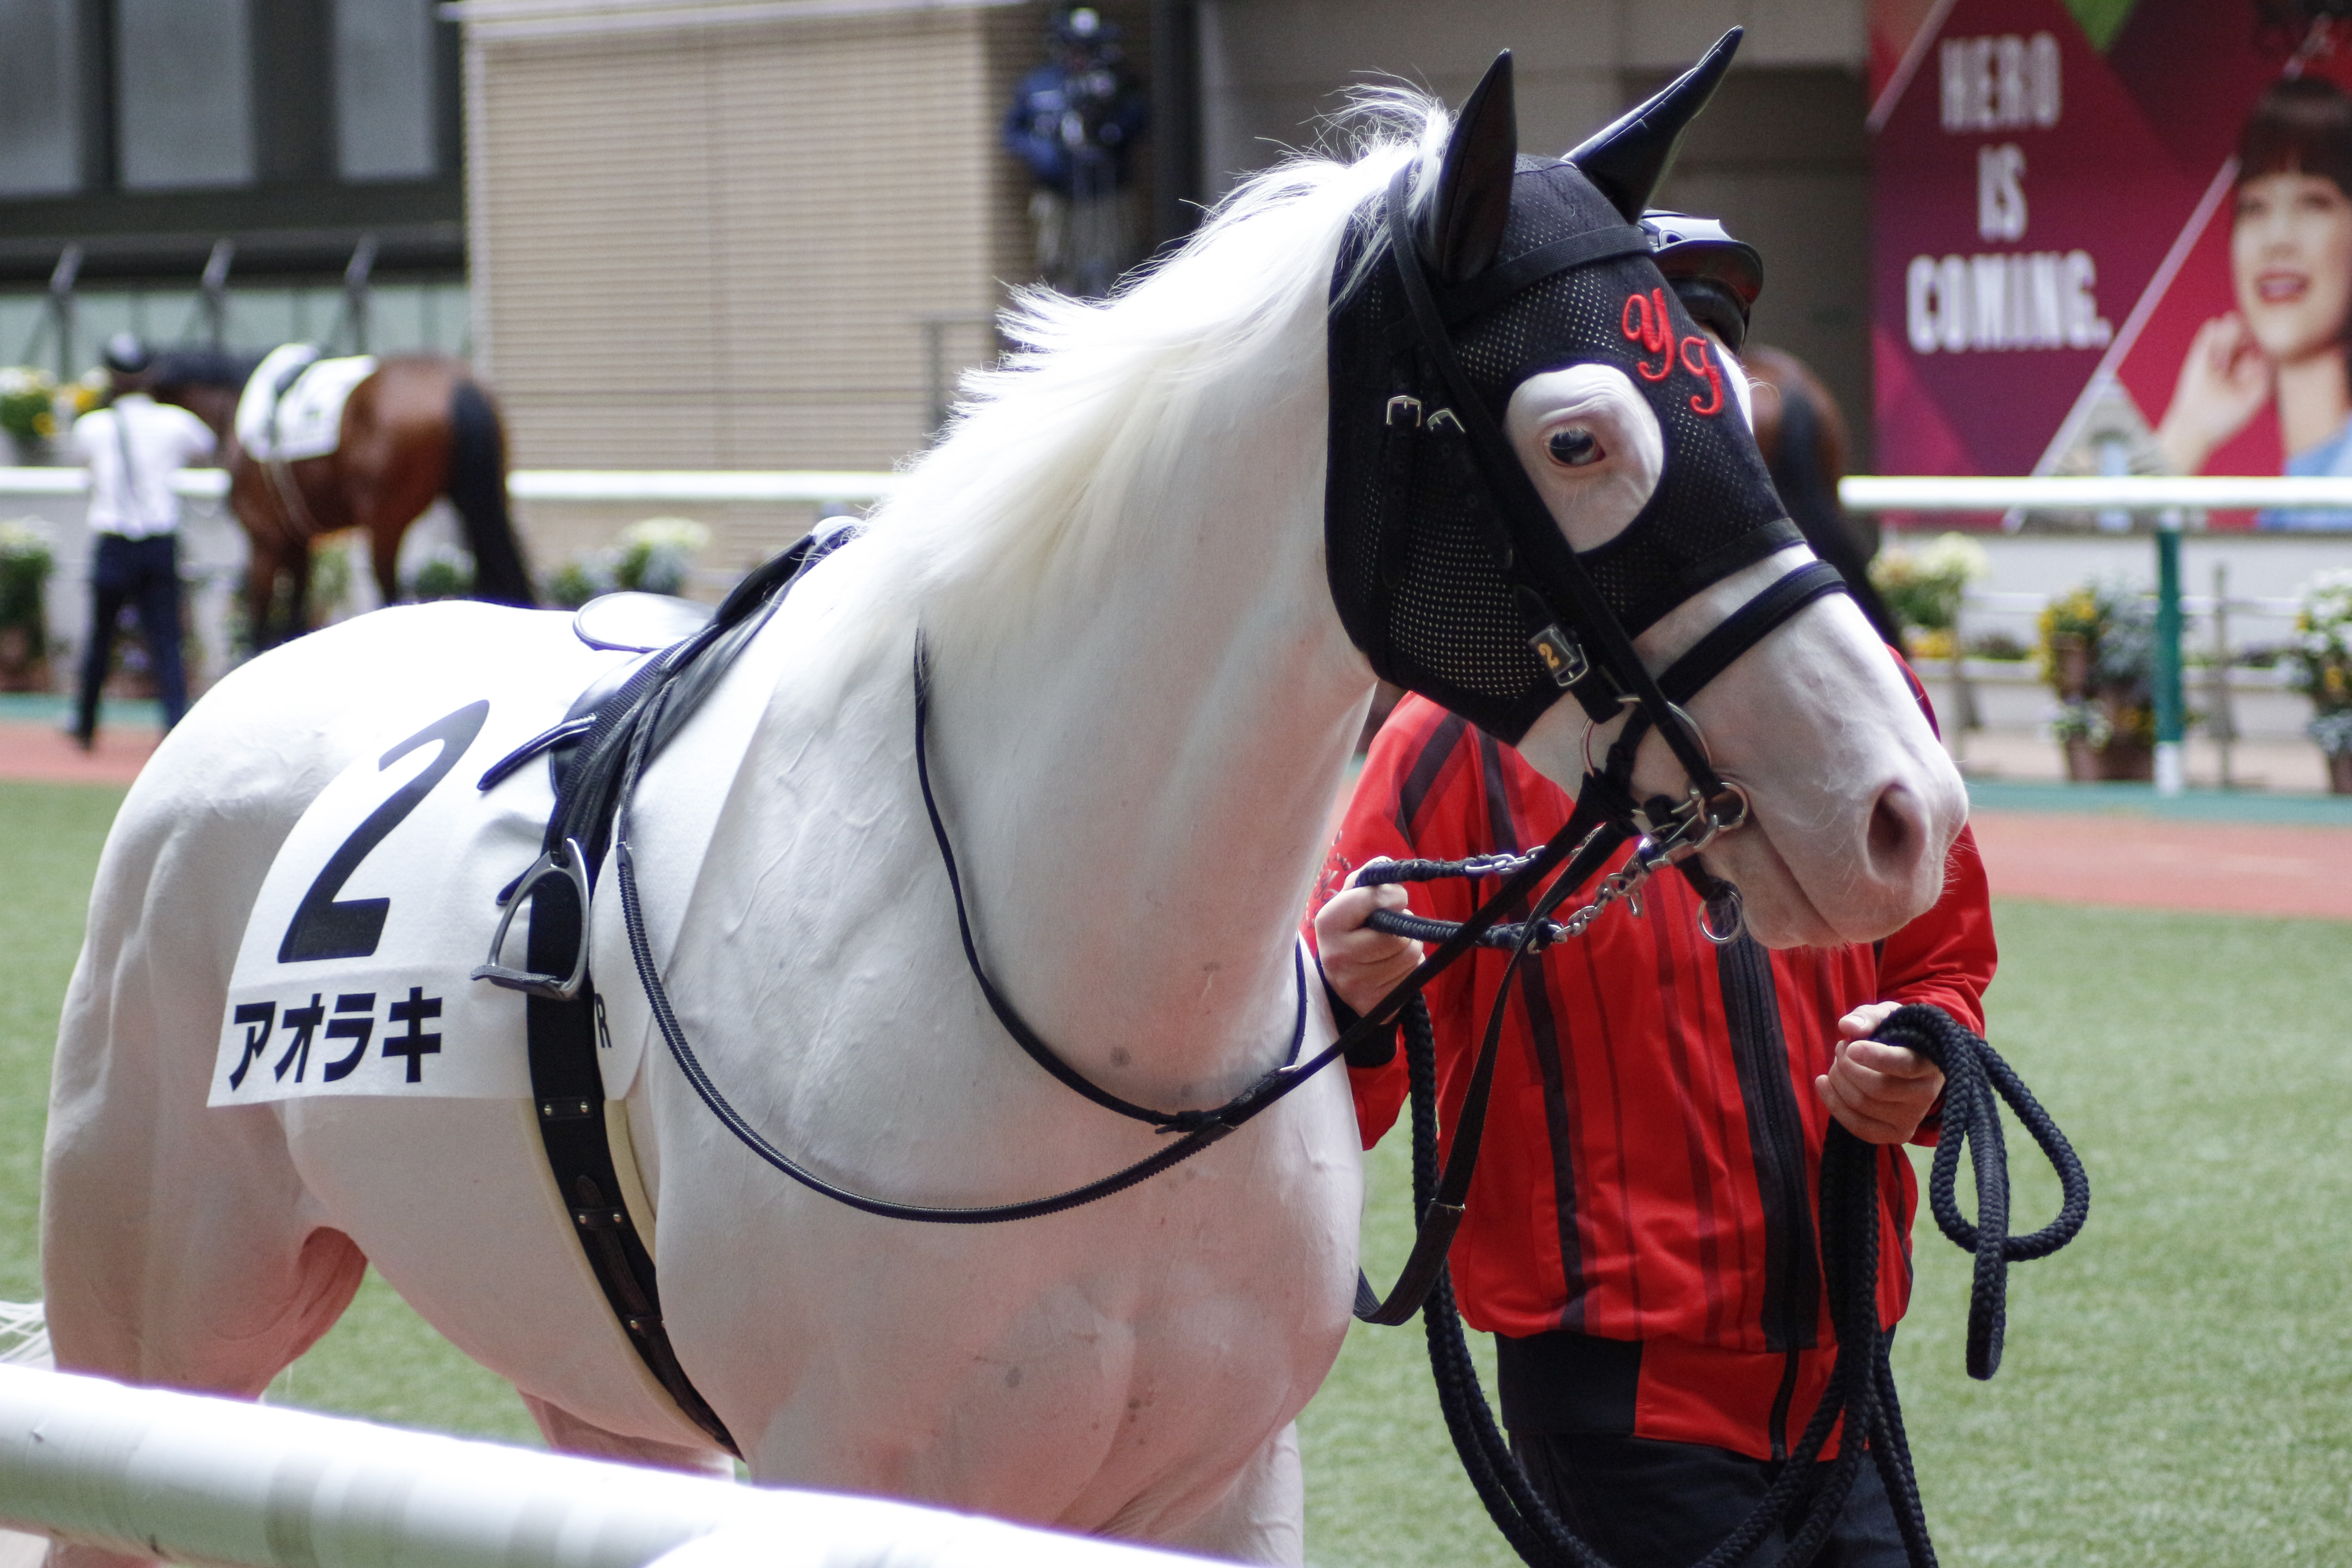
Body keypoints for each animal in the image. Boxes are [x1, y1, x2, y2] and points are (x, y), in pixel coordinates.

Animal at [151, 350, 537, 647]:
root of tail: (456, 384)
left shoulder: (266, 540)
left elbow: (260, 619)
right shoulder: (298, 541)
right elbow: (296, 614)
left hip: (387, 522)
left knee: (391, 594)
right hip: (484, 502)